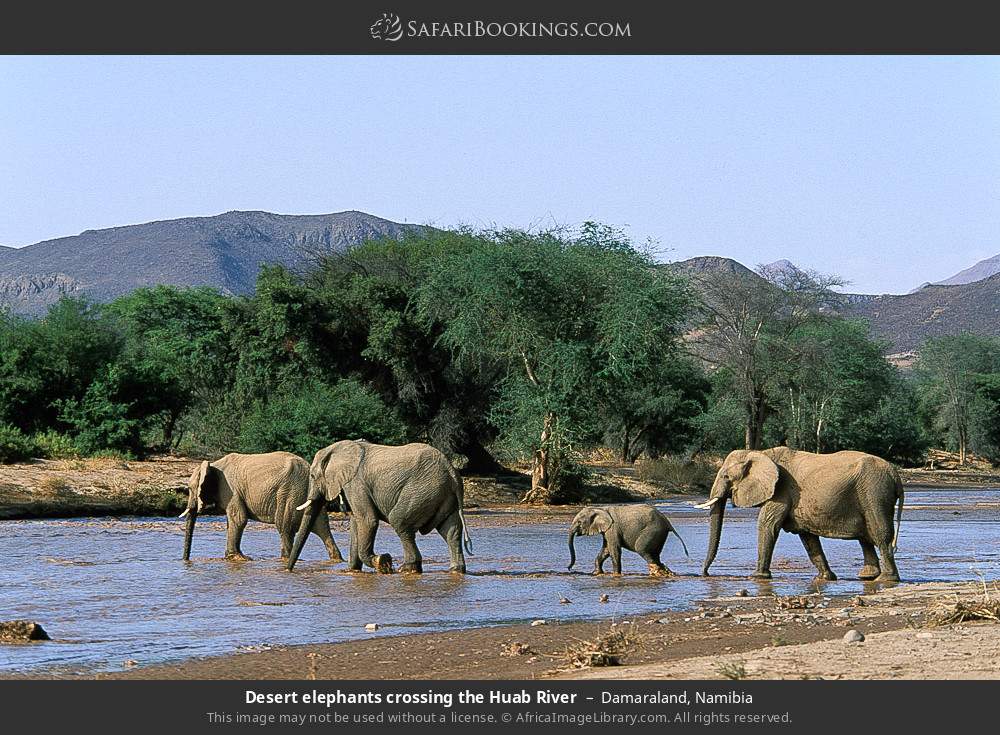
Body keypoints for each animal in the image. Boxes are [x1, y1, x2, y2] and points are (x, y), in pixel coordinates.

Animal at [180, 451, 343, 563]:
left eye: (190, 489)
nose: (186, 561)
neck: (213, 464)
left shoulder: (230, 490)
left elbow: (239, 519)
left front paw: (237, 557)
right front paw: (234, 557)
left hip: (289, 493)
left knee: (284, 527)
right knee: (322, 526)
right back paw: (337, 560)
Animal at [286, 440, 472, 574]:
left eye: (312, 475)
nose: (288, 570)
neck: (337, 448)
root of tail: (452, 472)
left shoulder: (356, 483)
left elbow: (367, 520)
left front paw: (382, 562)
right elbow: (356, 523)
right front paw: (352, 571)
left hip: (423, 490)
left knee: (400, 522)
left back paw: (407, 569)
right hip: (442, 495)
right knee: (451, 530)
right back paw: (456, 570)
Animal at [698, 447, 904, 582]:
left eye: (726, 477)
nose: (705, 574)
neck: (762, 453)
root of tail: (896, 475)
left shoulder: (780, 490)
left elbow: (767, 525)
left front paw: (757, 577)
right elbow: (807, 537)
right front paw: (825, 578)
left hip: (874, 492)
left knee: (879, 533)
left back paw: (885, 580)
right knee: (866, 537)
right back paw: (867, 576)